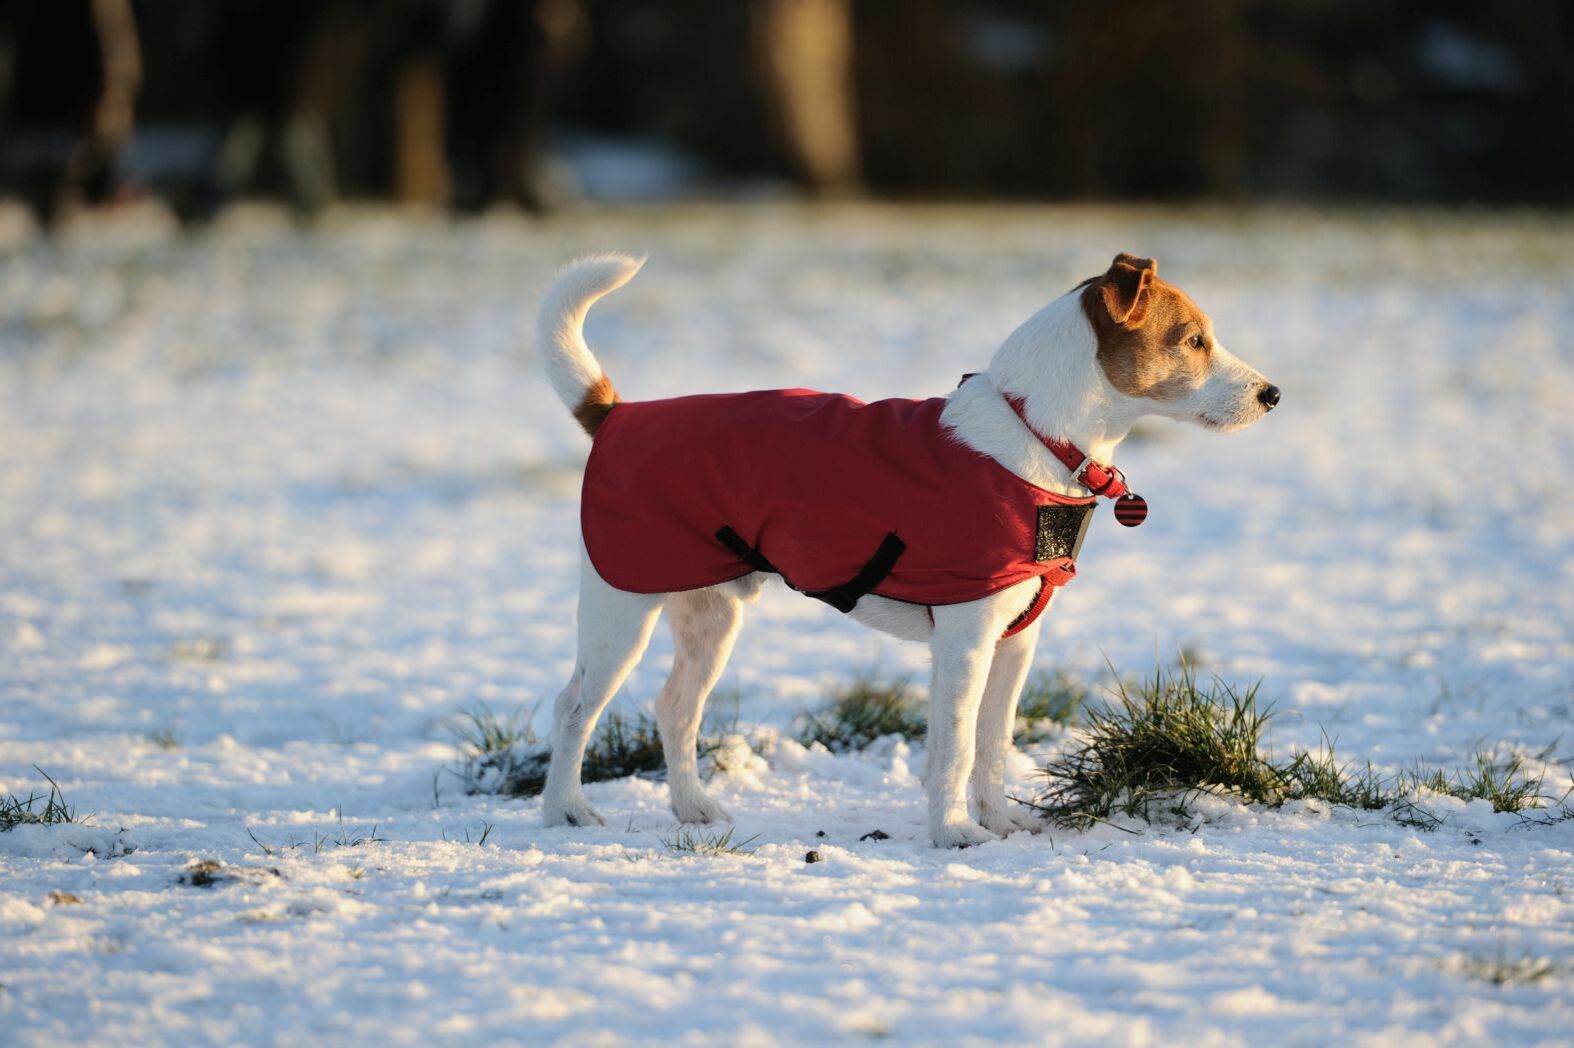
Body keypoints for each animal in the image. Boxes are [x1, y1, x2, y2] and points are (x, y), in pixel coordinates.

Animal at [535, 248, 1271, 843]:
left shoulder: (1014, 642)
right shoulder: (966, 639)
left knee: (676, 709)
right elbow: (955, 747)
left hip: (712, 615)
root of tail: (616, 415)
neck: (1035, 436)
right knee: (572, 708)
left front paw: (1000, 823)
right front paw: (955, 835)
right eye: (1193, 339)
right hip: (621, 612)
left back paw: (692, 807)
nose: (1273, 393)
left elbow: (992, 743)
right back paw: (564, 810)